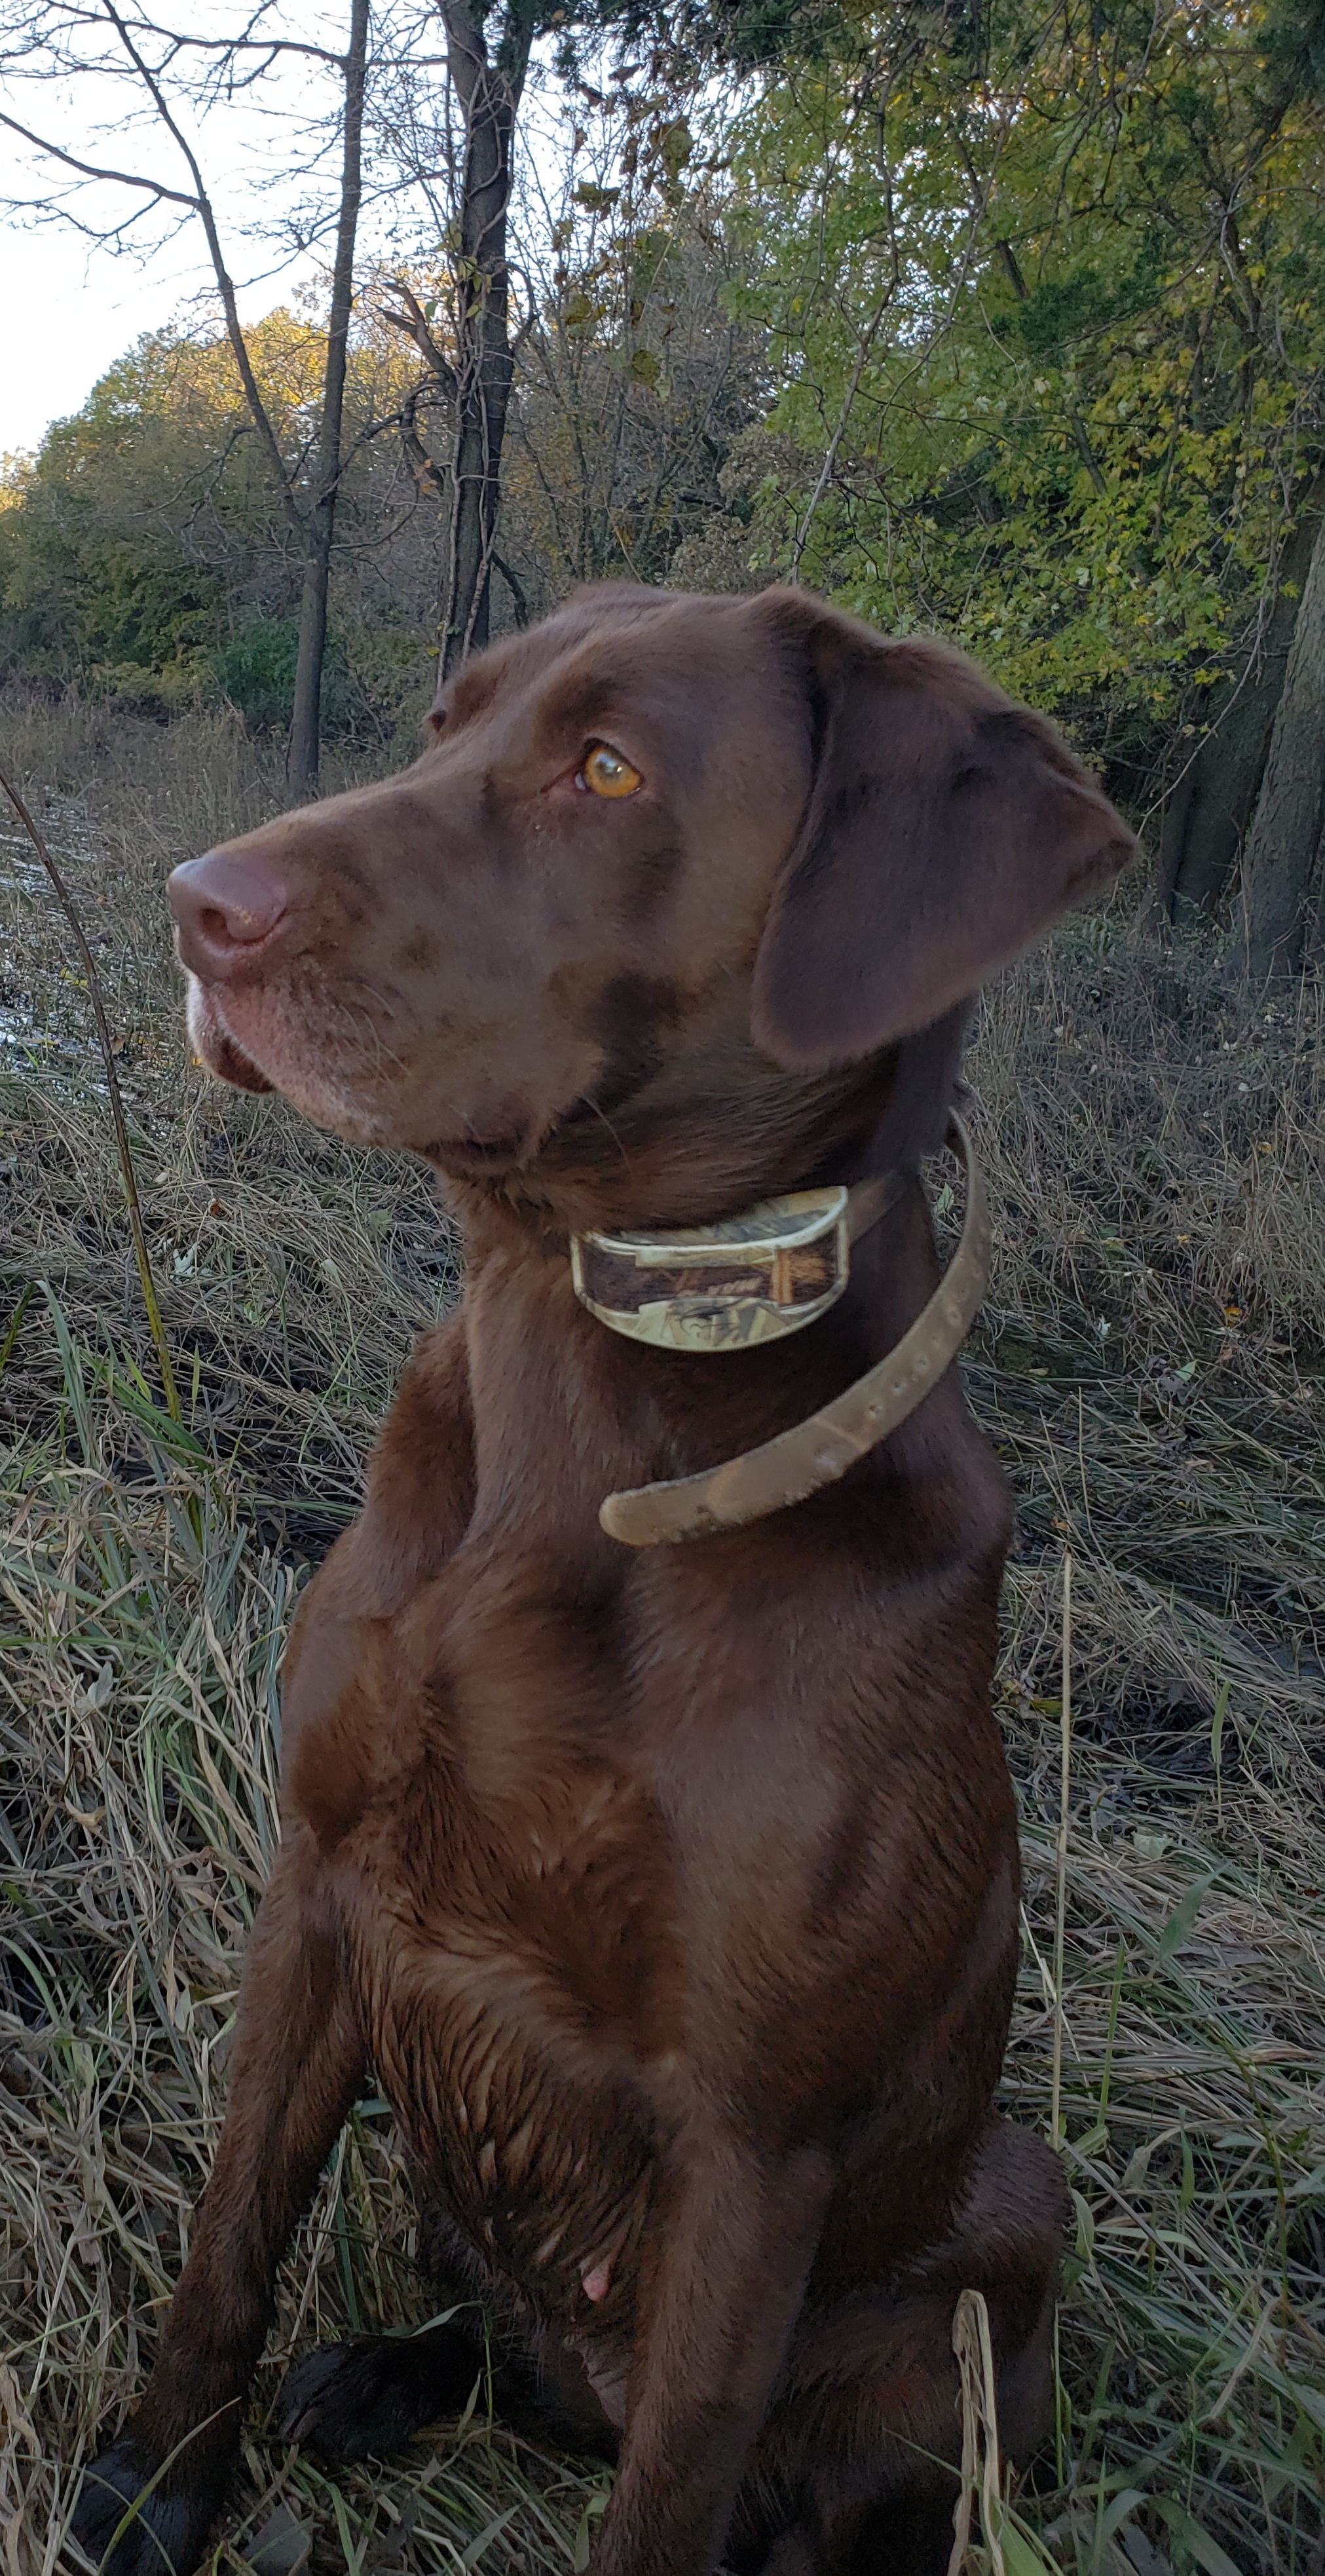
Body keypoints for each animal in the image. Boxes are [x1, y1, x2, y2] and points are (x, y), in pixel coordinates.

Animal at [69, 590, 1124, 2576]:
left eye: (610, 771)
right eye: (442, 723)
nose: (197, 903)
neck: (574, 1416)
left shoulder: (751, 2144)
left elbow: (668, 2495)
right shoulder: (320, 1889)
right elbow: (229, 2242)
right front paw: (153, 2487)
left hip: (1005, 2210)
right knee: (505, 2345)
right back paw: (380, 2374)